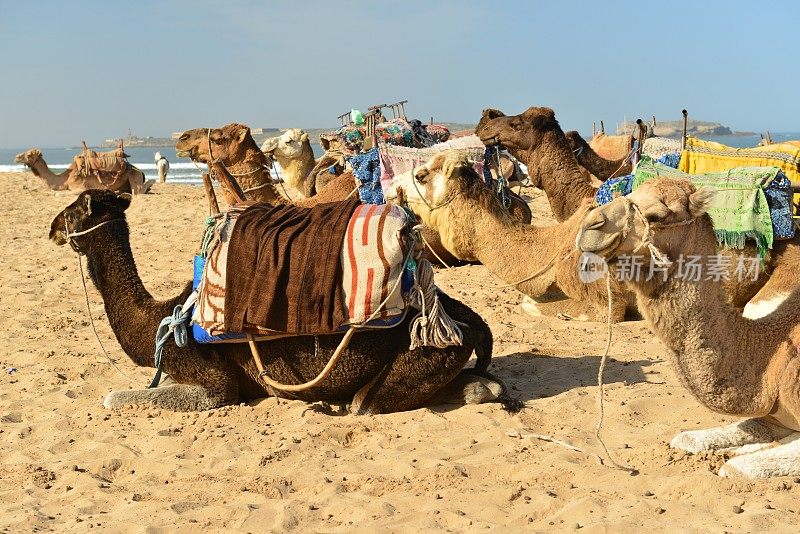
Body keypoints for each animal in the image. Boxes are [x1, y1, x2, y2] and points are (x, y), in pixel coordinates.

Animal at [14, 149, 152, 195]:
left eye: (29, 155)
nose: (16, 157)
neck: (66, 178)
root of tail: (140, 172)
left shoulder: (81, 187)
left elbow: (57, 194)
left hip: (134, 176)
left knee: (139, 191)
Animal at [48, 191, 520, 416]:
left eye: (71, 212)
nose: (51, 227)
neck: (161, 318)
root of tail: (462, 317)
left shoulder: (213, 380)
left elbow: (115, 398)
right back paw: (483, 387)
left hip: (422, 348)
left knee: (362, 403)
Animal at [576, 177, 800, 482]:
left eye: (657, 216)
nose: (590, 226)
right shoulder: (773, 414)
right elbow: (688, 439)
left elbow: (737, 468)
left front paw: (738, 458)